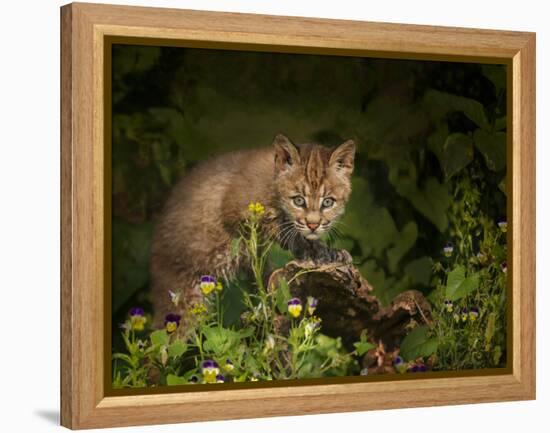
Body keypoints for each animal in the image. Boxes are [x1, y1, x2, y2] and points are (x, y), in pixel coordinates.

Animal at [151, 133, 358, 326]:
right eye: (298, 201)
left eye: (328, 202)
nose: (313, 225)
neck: (273, 185)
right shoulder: (234, 210)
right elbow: (284, 228)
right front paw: (315, 251)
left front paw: (329, 252)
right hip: (185, 298)